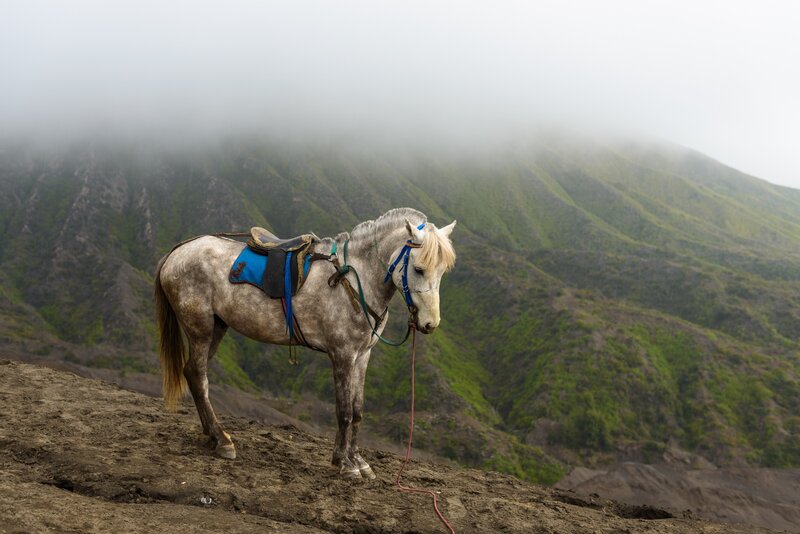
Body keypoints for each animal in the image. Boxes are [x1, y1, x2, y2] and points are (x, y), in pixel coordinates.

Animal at [154, 208, 456, 478]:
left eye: (442, 271)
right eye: (418, 269)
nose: (430, 323)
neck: (353, 278)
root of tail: (177, 252)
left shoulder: (362, 355)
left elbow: (358, 411)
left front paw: (358, 460)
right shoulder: (343, 355)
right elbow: (344, 411)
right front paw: (345, 464)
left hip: (217, 328)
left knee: (193, 373)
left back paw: (212, 435)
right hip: (201, 329)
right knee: (199, 377)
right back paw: (222, 440)